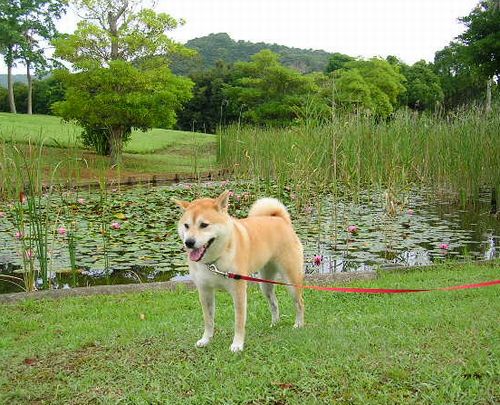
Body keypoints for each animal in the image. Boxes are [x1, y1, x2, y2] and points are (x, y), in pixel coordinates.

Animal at [172, 189, 304, 350]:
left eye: (204, 225)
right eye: (186, 225)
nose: (189, 242)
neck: (214, 261)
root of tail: (280, 219)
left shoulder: (239, 291)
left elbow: (239, 321)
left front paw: (237, 344)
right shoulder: (204, 291)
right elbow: (208, 320)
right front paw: (206, 339)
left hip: (291, 281)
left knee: (299, 303)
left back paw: (299, 324)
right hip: (264, 284)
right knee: (274, 302)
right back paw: (274, 323)